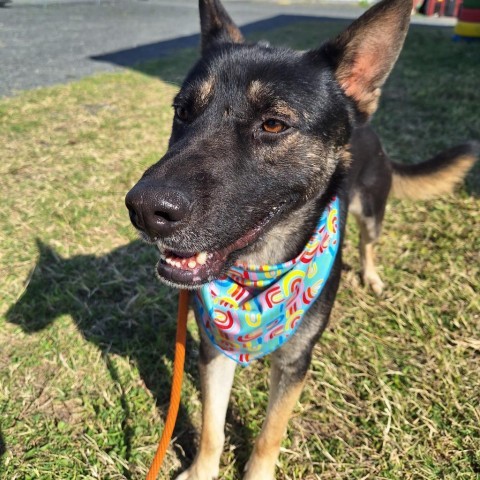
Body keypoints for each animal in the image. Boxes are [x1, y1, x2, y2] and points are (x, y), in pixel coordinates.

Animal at [125, 1, 478, 478]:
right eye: (183, 111)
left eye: (274, 124)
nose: (143, 210)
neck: (257, 271)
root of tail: (363, 123)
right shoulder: (213, 349)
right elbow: (213, 427)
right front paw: (201, 471)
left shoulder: (296, 360)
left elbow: (269, 434)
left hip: (371, 211)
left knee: (368, 243)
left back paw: (370, 276)